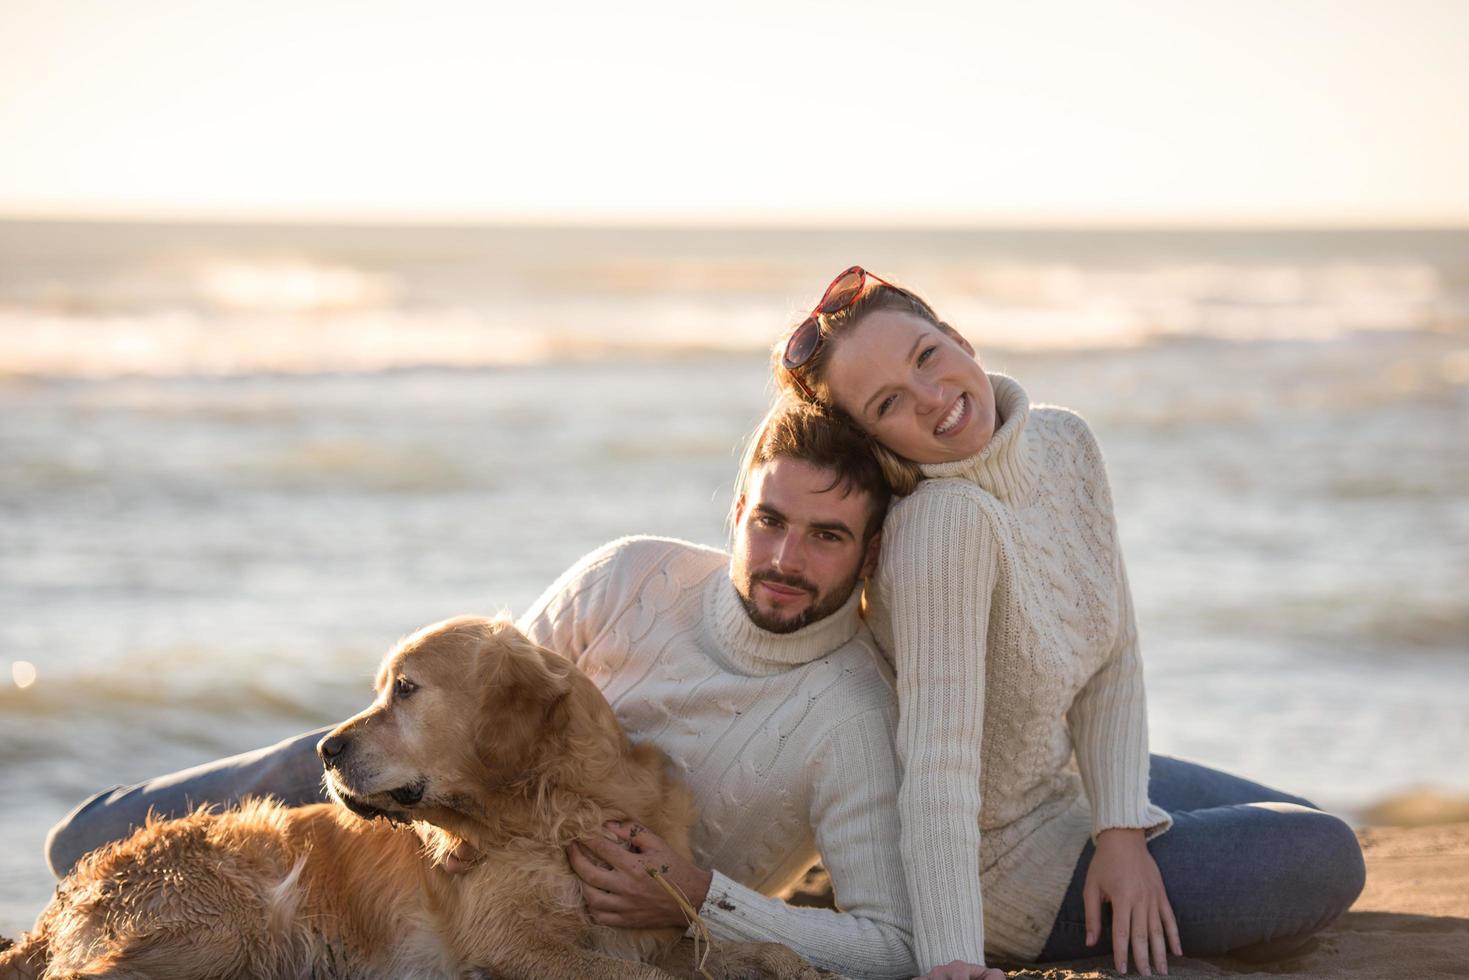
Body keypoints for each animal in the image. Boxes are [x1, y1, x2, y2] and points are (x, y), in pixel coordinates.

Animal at [0, 620, 834, 980]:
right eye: (384, 688)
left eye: (405, 690)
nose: (324, 749)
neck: (557, 806)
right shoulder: (518, 944)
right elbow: (652, 979)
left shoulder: (649, 925)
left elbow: (753, 950)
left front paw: (787, 962)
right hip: (228, 923)